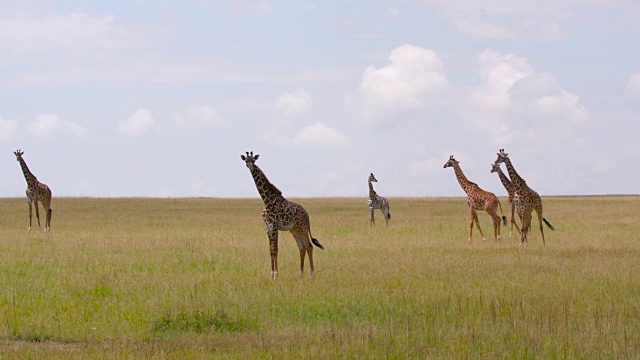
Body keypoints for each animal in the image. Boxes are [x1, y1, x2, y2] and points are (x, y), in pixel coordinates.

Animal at [239, 150, 322, 280]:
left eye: (254, 160)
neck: (267, 200)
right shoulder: (267, 227)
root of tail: (307, 215)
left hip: (303, 228)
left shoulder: (274, 226)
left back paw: (312, 274)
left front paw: (276, 274)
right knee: (301, 247)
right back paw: (301, 274)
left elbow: (276, 249)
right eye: (246, 160)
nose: (251, 167)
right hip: (295, 229)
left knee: (309, 246)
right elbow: (271, 250)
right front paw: (271, 273)